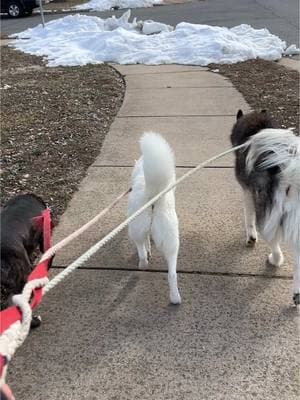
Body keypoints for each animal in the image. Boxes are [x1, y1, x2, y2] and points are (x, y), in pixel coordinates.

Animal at [127, 133, 180, 304]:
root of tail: (153, 197)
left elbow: (146, 243)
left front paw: (148, 249)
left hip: (135, 230)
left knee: (142, 253)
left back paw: (142, 265)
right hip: (171, 240)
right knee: (172, 273)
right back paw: (175, 298)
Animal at [232, 109, 300, 304]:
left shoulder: (247, 191)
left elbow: (248, 217)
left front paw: (250, 237)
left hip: (268, 216)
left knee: (274, 243)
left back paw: (275, 260)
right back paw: (297, 293)